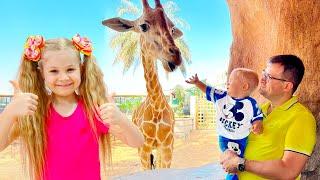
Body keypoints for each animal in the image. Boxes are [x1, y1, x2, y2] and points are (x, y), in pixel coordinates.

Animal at [102, 0, 182, 170]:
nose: (175, 56)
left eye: (172, 29)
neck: (156, 107)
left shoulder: (167, 147)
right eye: (143, 26)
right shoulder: (144, 149)